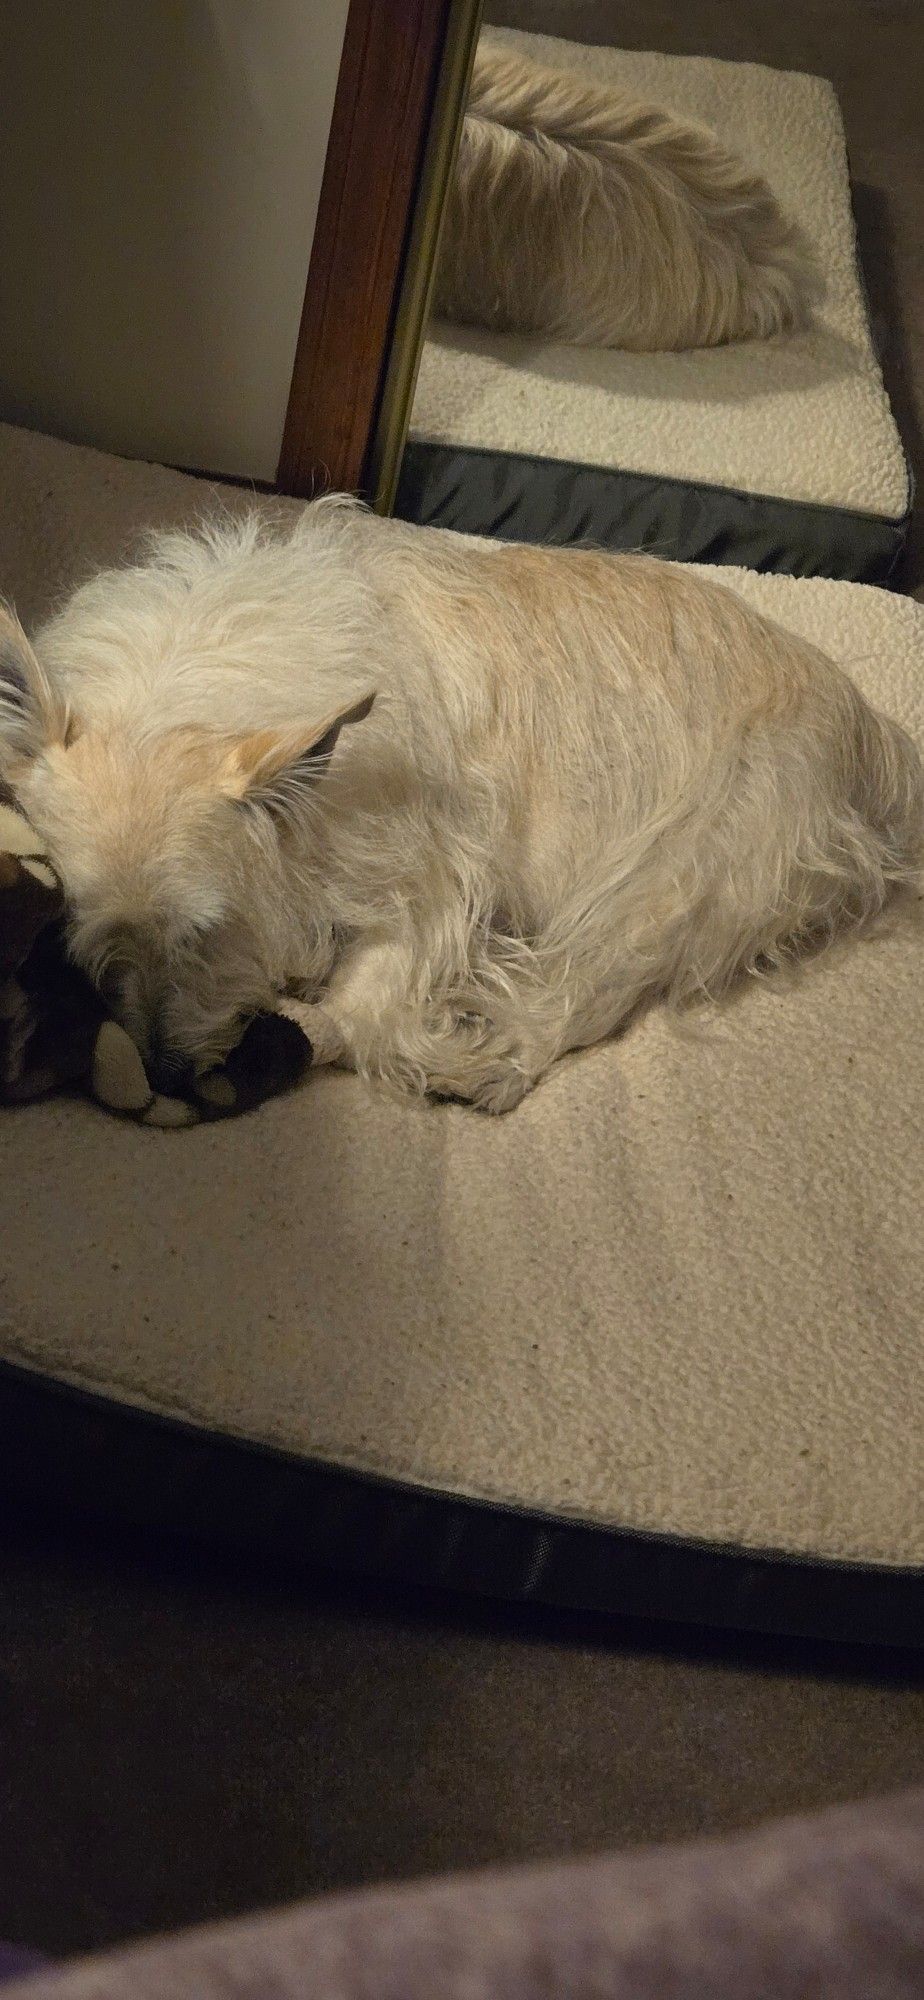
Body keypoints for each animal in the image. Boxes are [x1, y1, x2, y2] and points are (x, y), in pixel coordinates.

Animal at [0, 498, 920, 1112]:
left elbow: (366, 1014)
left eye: (205, 933)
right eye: (84, 943)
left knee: (574, 996)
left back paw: (483, 1066)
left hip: (670, 882)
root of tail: (875, 738)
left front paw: (335, 1037)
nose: (162, 1073)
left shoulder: (435, 885)